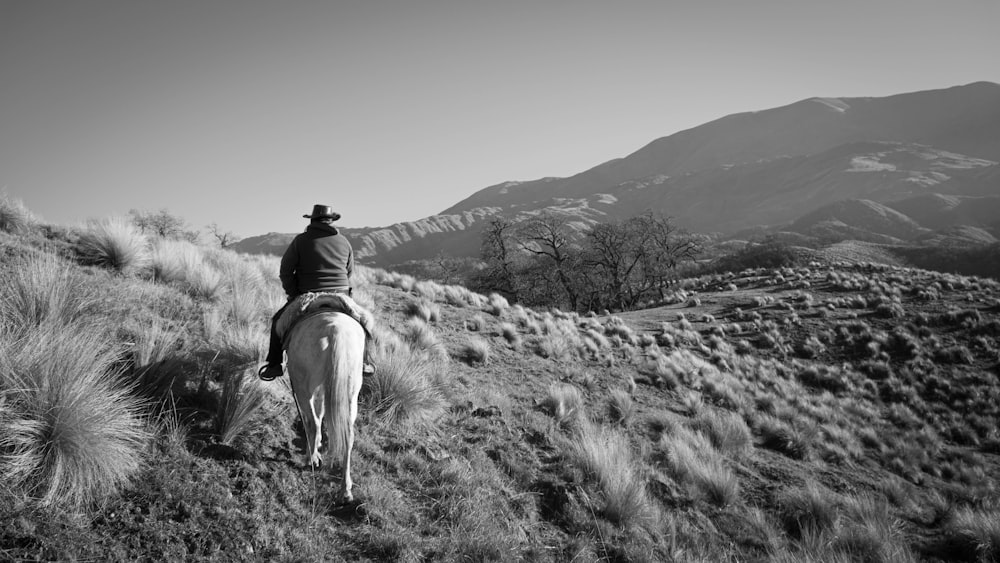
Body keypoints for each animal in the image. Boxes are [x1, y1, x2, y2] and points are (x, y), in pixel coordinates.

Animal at [284, 310, 366, 504]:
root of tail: (336, 332)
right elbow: (321, 412)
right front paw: (320, 442)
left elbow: (313, 418)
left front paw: (316, 447)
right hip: (351, 394)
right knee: (348, 435)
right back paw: (345, 490)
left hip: (303, 388)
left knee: (312, 422)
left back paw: (311, 458)